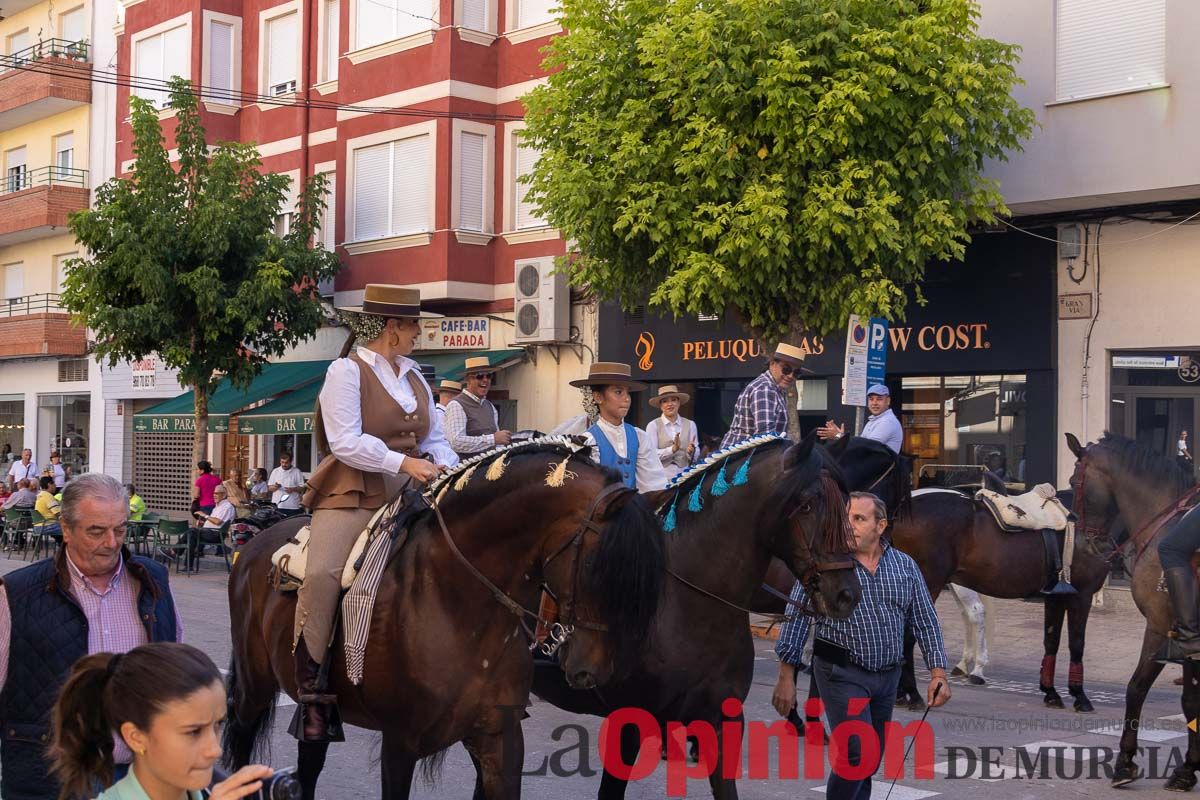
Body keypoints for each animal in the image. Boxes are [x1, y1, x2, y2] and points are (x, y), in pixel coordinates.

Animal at [223, 443, 667, 800]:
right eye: (597, 564)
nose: (594, 670)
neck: (456, 604)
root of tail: (254, 545)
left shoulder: (500, 738)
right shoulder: (399, 742)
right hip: (255, 686)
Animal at [1070, 429, 1200, 791]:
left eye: (1073, 481)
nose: (1084, 544)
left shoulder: (1160, 626)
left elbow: (1136, 688)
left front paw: (1125, 763)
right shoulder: (1183, 639)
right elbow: (1189, 702)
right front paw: (1187, 770)